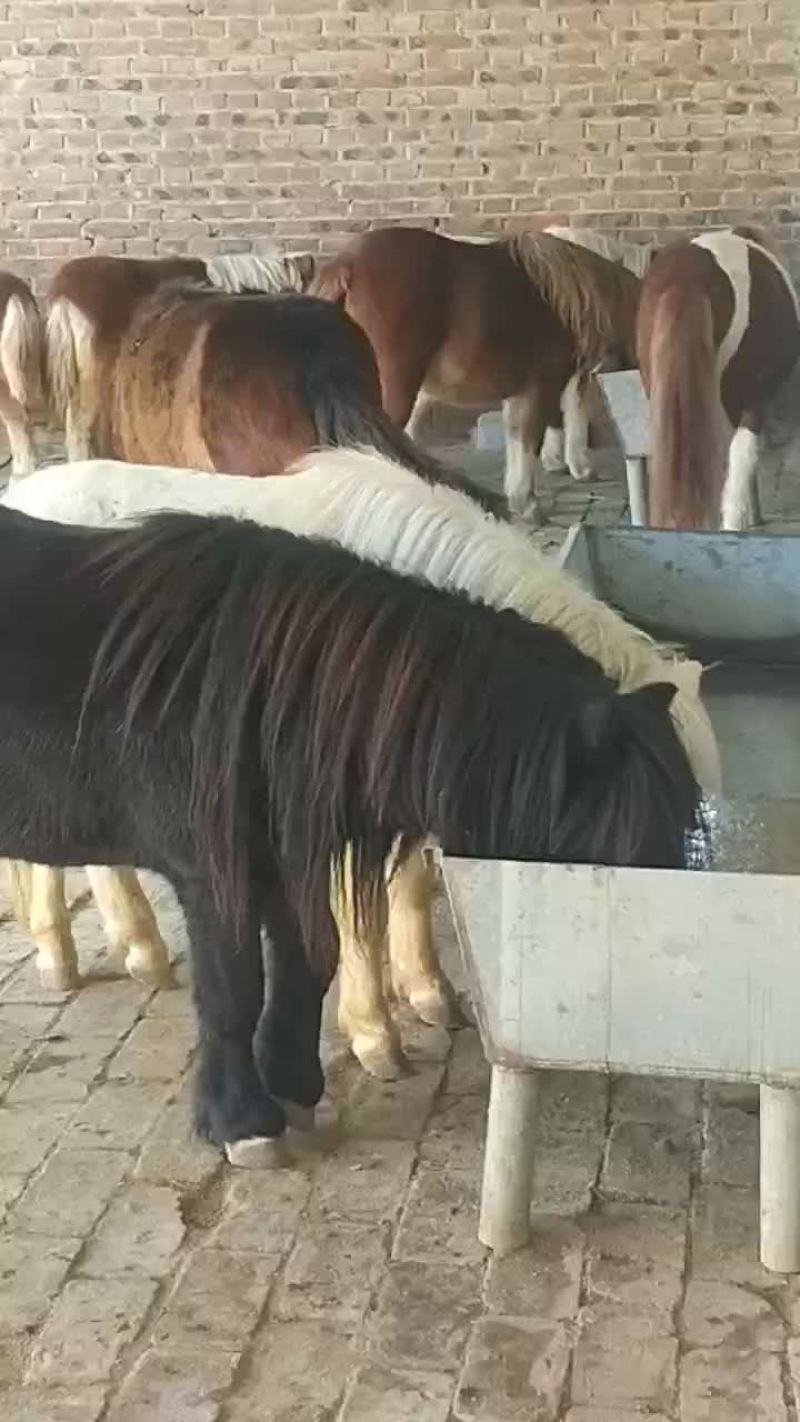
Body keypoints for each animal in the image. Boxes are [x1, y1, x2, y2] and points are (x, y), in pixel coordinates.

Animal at [0, 500, 705, 1158]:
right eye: (616, 857)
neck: (260, 694)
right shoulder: (213, 874)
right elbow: (233, 991)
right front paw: (242, 1124)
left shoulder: (285, 861)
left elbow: (310, 962)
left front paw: (294, 1086)